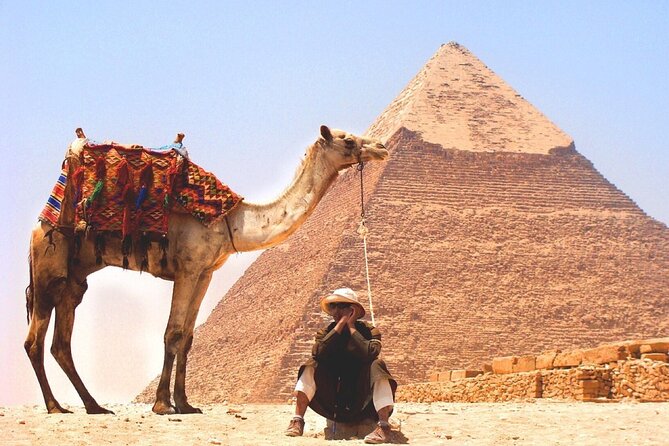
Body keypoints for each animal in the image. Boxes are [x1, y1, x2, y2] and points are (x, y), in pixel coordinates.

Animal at [24, 125, 388, 415]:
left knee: (61, 344)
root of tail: (39, 224)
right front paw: (162, 405)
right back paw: (56, 407)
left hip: (72, 282)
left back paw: (94, 406)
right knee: (34, 341)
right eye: (347, 140)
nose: (381, 147)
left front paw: (185, 403)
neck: (231, 220)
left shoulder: (205, 272)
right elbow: (172, 333)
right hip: (47, 269)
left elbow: (187, 337)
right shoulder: (187, 268)